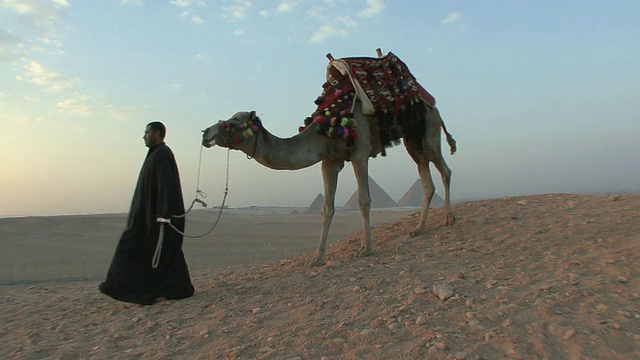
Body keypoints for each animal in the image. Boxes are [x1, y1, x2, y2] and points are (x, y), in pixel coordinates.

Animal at [200, 52, 456, 268]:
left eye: (235, 121)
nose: (206, 133)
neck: (329, 123)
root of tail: (428, 99)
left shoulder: (359, 153)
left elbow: (364, 200)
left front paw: (366, 249)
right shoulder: (329, 161)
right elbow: (326, 208)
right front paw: (317, 258)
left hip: (429, 128)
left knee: (444, 169)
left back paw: (449, 218)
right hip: (412, 138)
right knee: (426, 178)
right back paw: (418, 229)